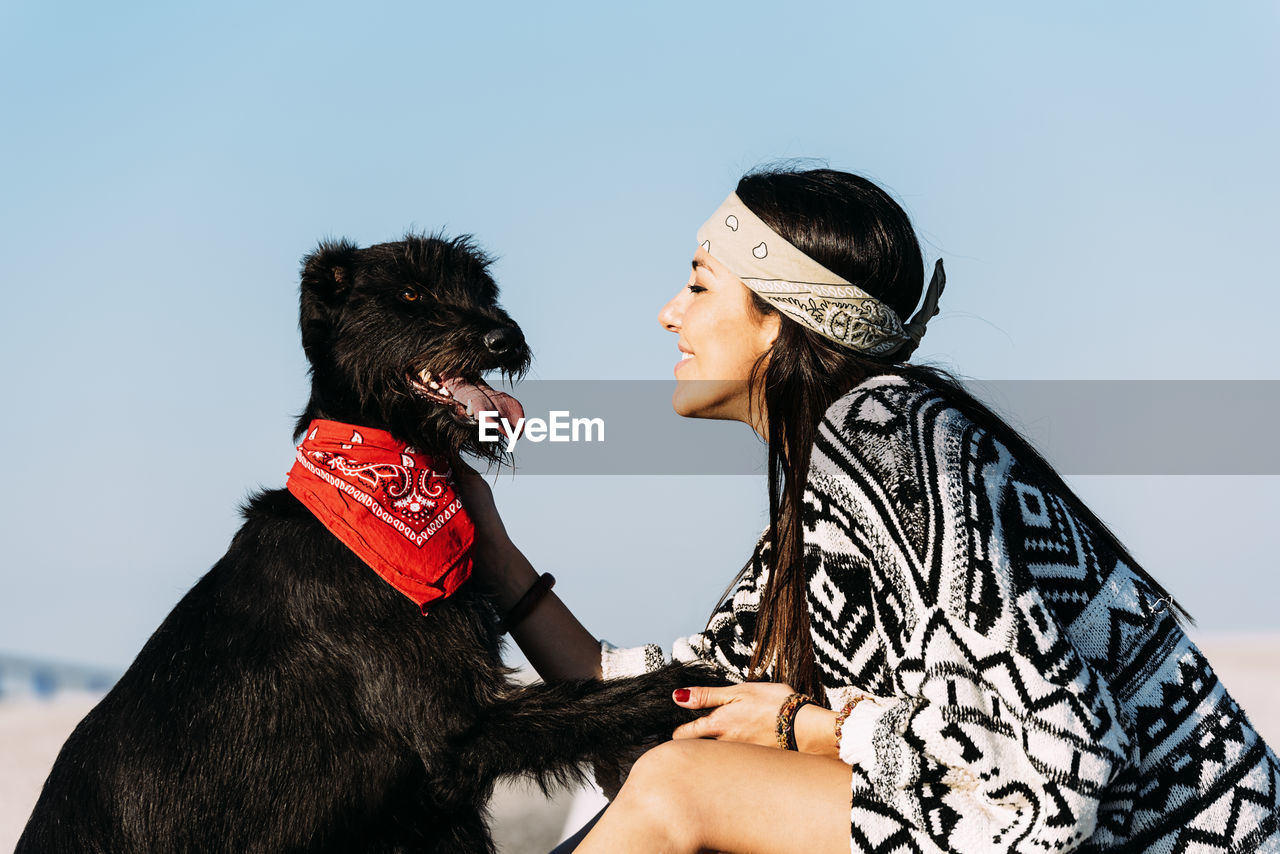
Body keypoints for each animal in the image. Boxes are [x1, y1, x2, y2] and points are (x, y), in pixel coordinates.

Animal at [17, 235, 721, 854]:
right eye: (409, 294)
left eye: (481, 289)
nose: (505, 336)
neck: (388, 477)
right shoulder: (455, 734)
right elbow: (607, 699)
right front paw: (693, 679)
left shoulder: (431, 809)